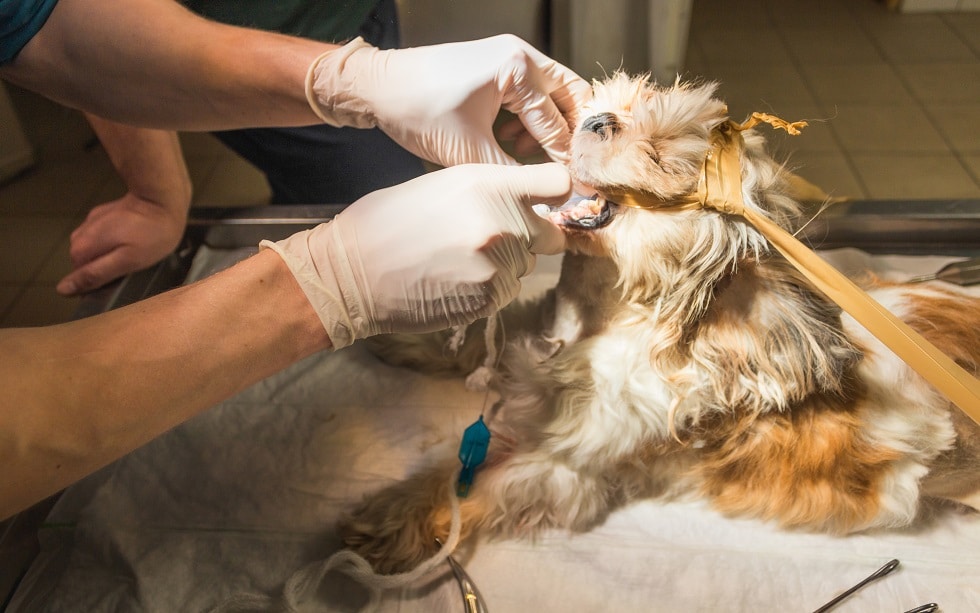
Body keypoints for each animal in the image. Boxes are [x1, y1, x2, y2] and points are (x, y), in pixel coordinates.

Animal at [338, 73, 980, 572]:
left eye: (663, 158)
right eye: (628, 105)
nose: (598, 119)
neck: (590, 326)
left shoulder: (562, 468)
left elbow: (470, 483)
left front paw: (389, 520)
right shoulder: (530, 328)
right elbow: (470, 344)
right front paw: (385, 324)